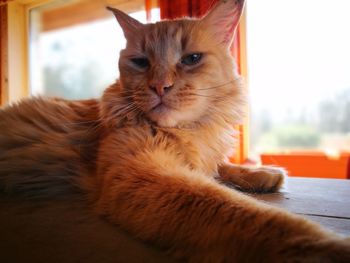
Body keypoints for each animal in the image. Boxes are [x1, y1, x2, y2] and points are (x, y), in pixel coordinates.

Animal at [0, 1, 350, 262]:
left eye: (191, 59)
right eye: (141, 62)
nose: (160, 87)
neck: (188, 131)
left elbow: (220, 166)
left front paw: (261, 173)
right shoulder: (144, 174)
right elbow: (246, 212)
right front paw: (325, 247)